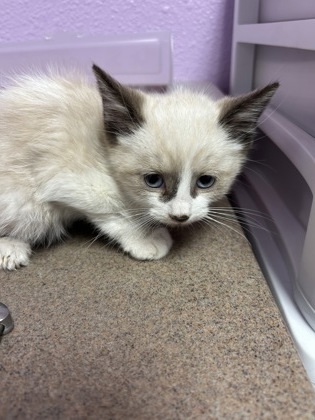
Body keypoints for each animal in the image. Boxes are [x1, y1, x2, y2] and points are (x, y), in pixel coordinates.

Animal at [0, 65, 278, 270]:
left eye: (206, 181)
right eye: (153, 180)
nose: (180, 217)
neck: (103, 146)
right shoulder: (67, 178)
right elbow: (116, 211)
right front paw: (146, 238)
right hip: (23, 206)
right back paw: (12, 249)